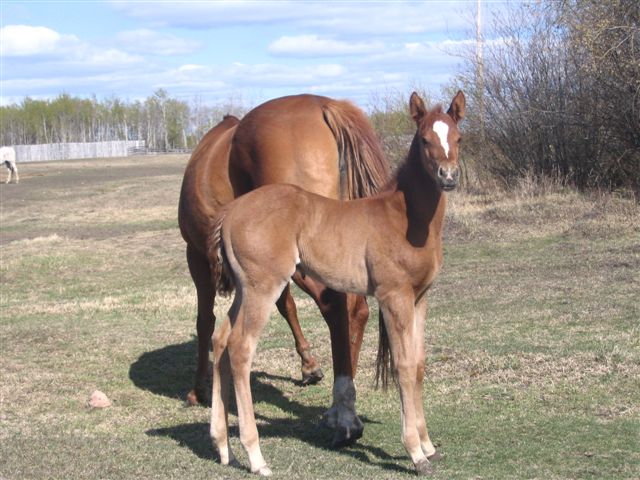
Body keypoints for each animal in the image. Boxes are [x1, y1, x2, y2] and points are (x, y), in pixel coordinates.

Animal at [178, 94, 390, 447]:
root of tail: (323, 105)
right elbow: (285, 305)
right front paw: (309, 365)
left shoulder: (196, 257)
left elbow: (204, 320)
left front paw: (197, 388)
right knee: (356, 310)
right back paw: (342, 401)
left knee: (336, 307)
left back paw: (343, 417)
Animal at [208, 90, 465, 476]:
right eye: (424, 139)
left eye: (459, 138)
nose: (447, 177)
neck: (403, 217)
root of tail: (229, 214)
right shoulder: (393, 296)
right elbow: (403, 367)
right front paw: (416, 454)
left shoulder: (420, 298)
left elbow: (419, 366)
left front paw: (429, 446)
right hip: (263, 287)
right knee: (240, 348)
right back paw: (256, 457)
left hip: (244, 289)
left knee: (220, 339)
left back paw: (222, 445)